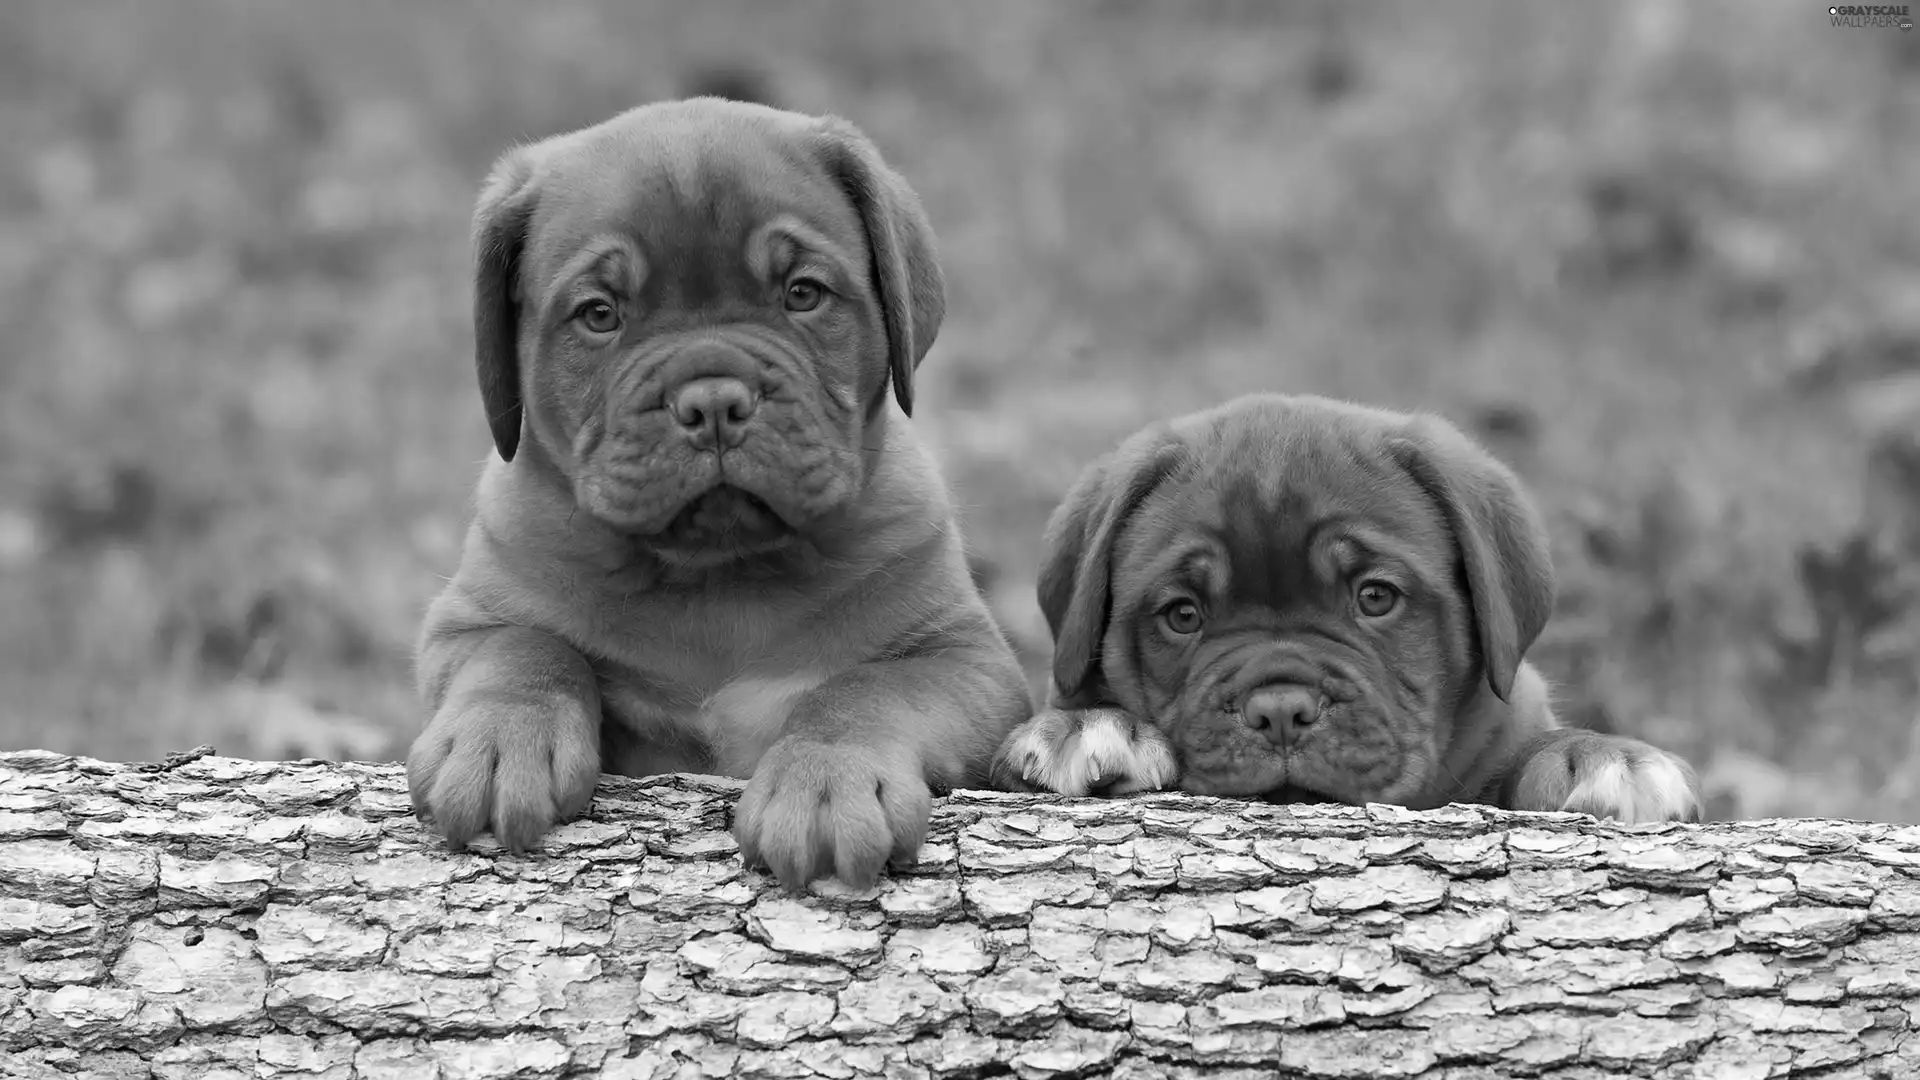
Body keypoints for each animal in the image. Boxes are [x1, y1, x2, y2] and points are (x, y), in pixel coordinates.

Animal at [407, 100, 1036, 887]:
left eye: (803, 294)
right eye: (599, 314)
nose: (711, 402)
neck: (719, 576)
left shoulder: (966, 660)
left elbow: (862, 691)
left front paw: (826, 783)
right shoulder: (466, 623)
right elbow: (525, 649)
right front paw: (497, 742)